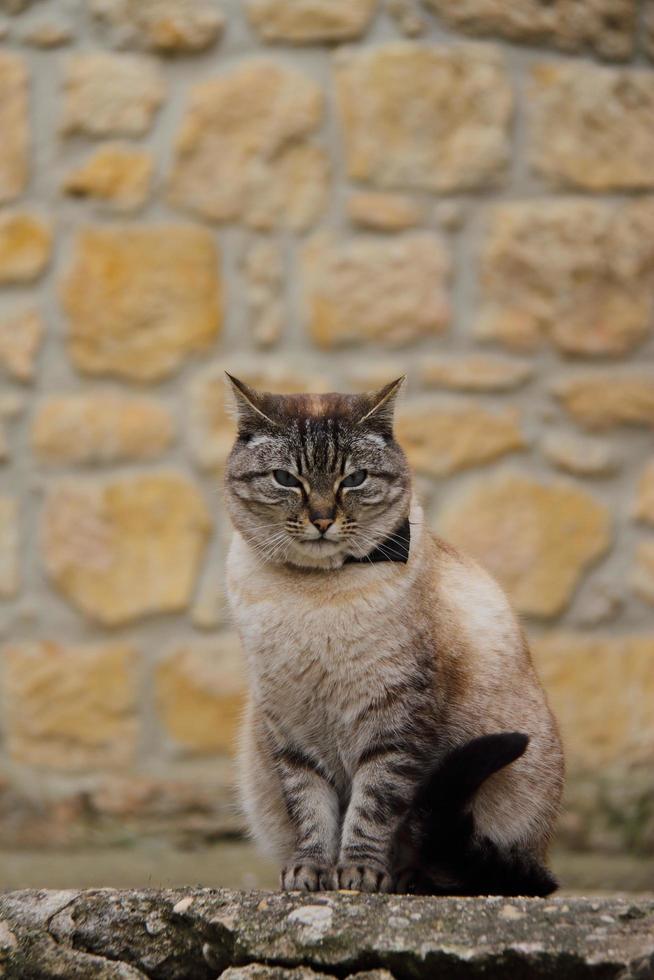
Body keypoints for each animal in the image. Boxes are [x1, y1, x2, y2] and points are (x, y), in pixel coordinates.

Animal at [224, 376, 564, 896]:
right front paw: (312, 871)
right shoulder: (291, 728)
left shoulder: (396, 723)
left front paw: (358, 875)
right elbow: (311, 810)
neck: (315, 594)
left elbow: (372, 808)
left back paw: (407, 878)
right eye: (286, 479)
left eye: (354, 479)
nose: (322, 519)